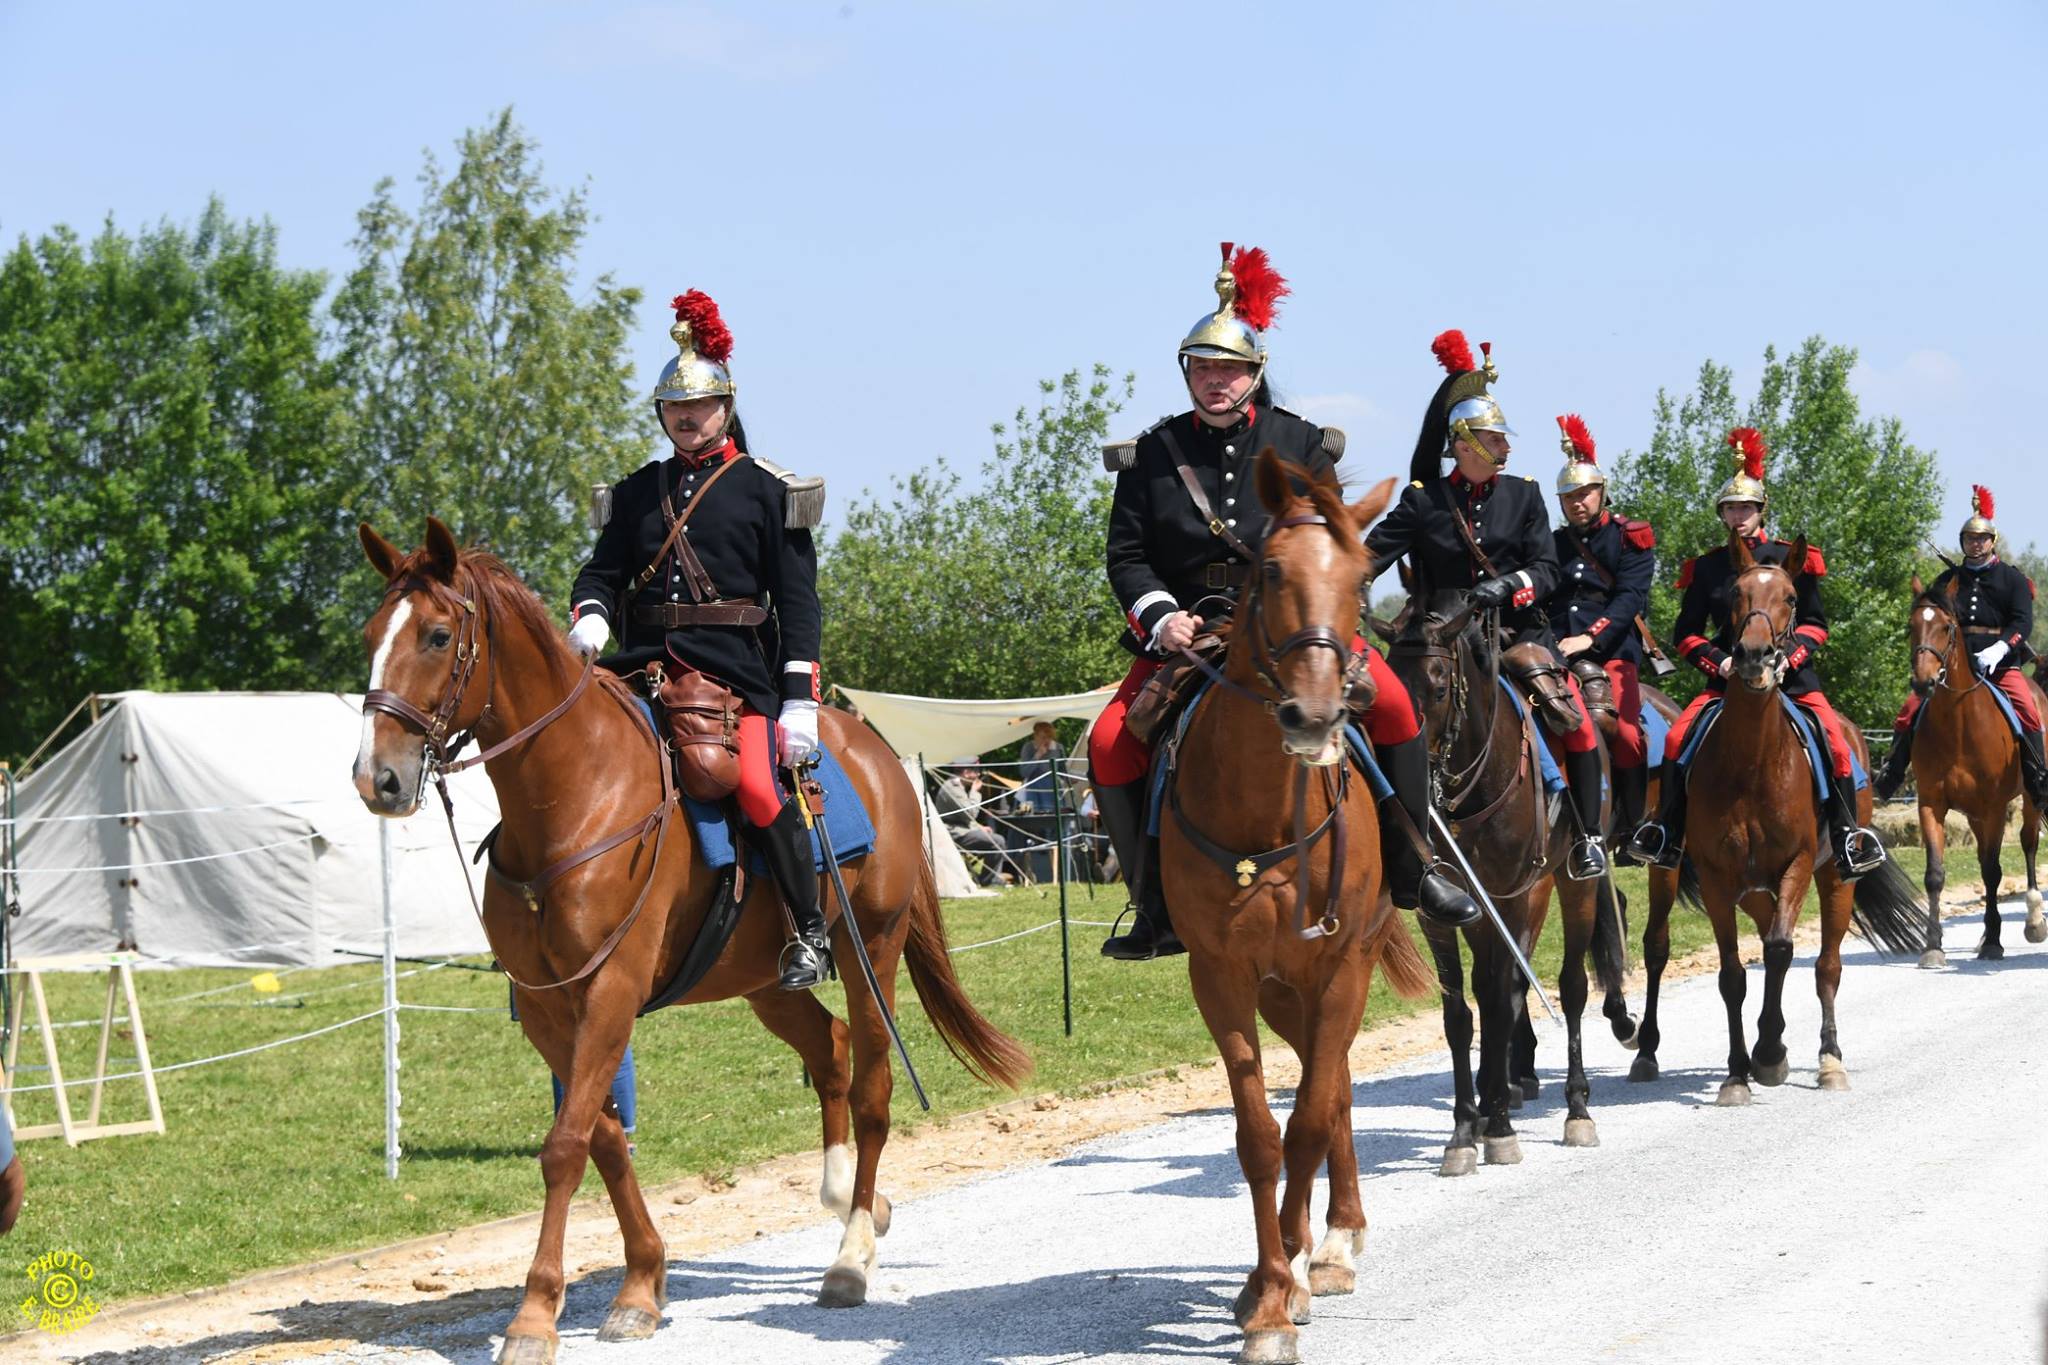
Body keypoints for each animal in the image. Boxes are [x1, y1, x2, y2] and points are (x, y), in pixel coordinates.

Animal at [356, 523, 1040, 1365]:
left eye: (437, 635)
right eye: (371, 636)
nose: (378, 778)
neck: (572, 794)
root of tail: (881, 759)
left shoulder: (610, 989)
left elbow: (565, 1144)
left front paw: (535, 1315)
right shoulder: (550, 1008)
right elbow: (603, 1138)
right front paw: (643, 1282)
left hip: (867, 953)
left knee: (873, 1087)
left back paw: (851, 1254)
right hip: (765, 982)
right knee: (831, 1049)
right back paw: (852, 1196)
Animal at [1163, 458, 1433, 1365]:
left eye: (1361, 576)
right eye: (1273, 571)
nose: (1315, 715)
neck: (1264, 815)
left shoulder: (1342, 962)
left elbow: (1309, 1121)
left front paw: (1291, 1277)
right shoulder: (1220, 974)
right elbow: (1260, 1135)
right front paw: (1269, 1291)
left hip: (1329, 976)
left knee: (1334, 1084)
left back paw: (1338, 1239)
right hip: (1284, 990)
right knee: (1337, 1080)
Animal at [1392, 589, 1630, 1178]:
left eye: (1437, 687)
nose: (1415, 795)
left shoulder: (1509, 898)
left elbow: (1498, 1001)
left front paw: (1497, 1127)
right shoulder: (1441, 914)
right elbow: (1459, 1013)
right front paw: (1463, 1130)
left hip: (1569, 886)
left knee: (1570, 986)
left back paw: (1574, 1107)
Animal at [1622, 540, 1925, 1105]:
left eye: (1790, 596)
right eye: (1735, 594)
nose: (1754, 656)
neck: (1752, 762)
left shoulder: (1797, 864)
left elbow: (1783, 951)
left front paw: (1765, 1055)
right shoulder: (1716, 876)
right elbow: (1733, 974)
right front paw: (1740, 1072)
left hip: (1834, 876)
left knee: (1826, 964)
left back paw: (1828, 1059)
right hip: (1694, 874)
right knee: (1677, 944)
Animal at [1892, 577, 2039, 961]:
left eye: (1947, 627)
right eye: (1911, 626)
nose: (1923, 683)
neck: (1958, 723)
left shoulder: (1994, 808)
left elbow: (1992, 871)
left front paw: (1993, 941)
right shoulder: (1931, 803)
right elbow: (1935, 874)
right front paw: (1933, 946)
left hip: (2029, 799)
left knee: (2029, 844)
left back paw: (2033, 921)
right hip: (1973, 815)